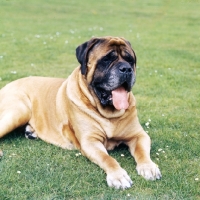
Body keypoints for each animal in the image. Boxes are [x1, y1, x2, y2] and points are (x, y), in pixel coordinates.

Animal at [0, 36, 161, 189]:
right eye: (106, 59)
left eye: (130, 60)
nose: (126, 69)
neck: (109, 113)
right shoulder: (90, 141)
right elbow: (108, 159)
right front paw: (118, 176)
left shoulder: (139, 135)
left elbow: (142, 152)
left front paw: (149, 167)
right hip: (19, 110)